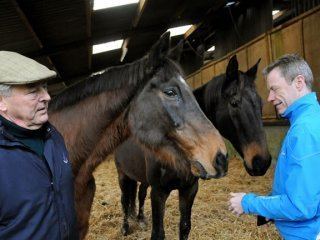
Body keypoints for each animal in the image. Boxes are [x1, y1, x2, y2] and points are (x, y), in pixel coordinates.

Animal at [114, 54, 272, 240]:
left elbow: (185, 227)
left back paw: (140, 219)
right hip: (122, 174)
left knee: (139, 194)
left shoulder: (189, 189)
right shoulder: (159, 191)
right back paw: (125, 227)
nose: (262, 162)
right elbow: (158, 233)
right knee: (124, 199)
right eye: (234, 103)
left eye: (260, 103)